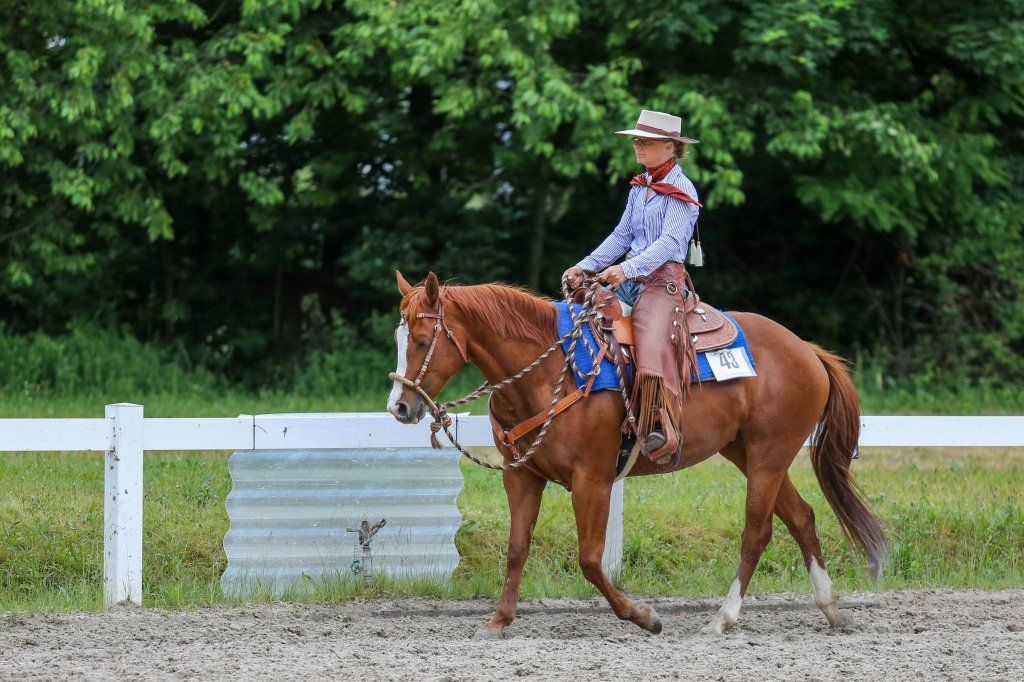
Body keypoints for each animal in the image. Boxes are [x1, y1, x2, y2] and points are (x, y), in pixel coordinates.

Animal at [387, 270, 887, 638]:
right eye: (398, 337)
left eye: (423, 338)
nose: (399, 407)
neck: (550, 371)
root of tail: (807, 350)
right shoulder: (522, 476)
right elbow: (516, 549)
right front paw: (498, 621)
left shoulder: (592, 480)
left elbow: (590, 560)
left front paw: (646, 617)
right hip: (749, 453)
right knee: (802, 518)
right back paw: (831, 609)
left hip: (769, 455)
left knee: (756, 532)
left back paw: (722, 618)